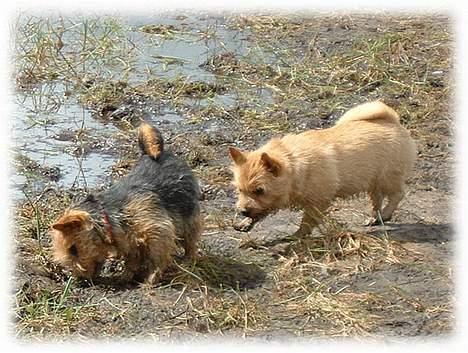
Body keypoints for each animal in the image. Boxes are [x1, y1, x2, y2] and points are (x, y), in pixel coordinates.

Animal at [50, 122, 201, 282]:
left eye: (73, 249)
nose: (80, 278)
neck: (110, 218)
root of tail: (156, 154)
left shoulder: (158, 230)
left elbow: (157, 258)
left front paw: (150, 279)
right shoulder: (128, 245)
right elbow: (131, 260)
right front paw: (125, 276)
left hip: (189, 216)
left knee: (190, 242)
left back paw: (188, 261)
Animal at [229, 100, 414, 235]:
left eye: (259, 190)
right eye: (240, 190)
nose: (242, 211)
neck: (293, 162)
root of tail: (392, 120)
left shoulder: (318, 202)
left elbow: (307, 222)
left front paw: (298, 236)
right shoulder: (272, 201)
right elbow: (260, 212)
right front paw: (245, 222)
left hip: (388, 178)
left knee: (397, 194)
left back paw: (386, 214)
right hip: (372, 180)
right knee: (377, 198)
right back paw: (374, 217)